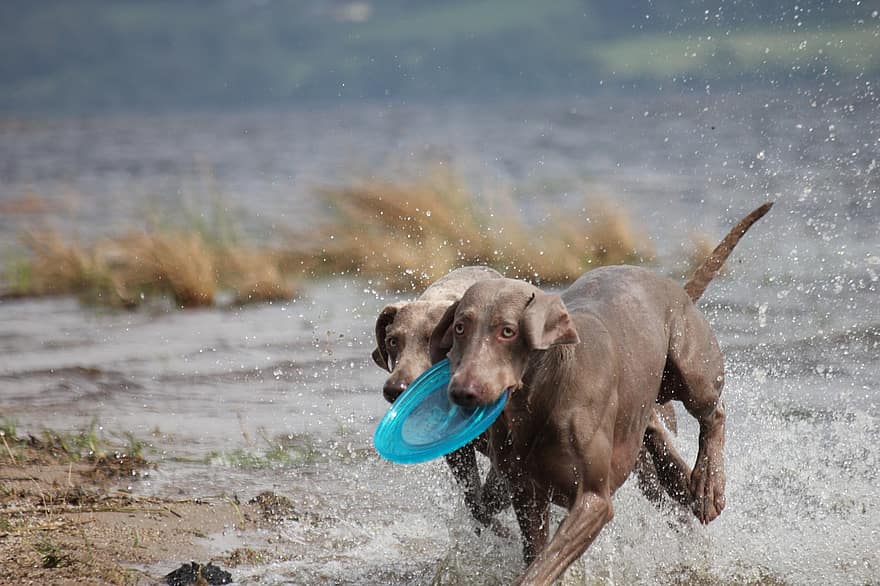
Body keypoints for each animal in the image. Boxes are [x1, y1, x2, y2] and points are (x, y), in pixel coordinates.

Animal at [430, 203, 772, 580]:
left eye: (507, 331)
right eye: (460, 326)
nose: (462, 391)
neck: (541, 394)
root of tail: (668, 283)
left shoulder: (593, 501)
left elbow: (544, 565)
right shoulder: (525, 491)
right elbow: (535, 550)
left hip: (691, 366)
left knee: (713, 412)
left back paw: (708, 484)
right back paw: (691, 486)